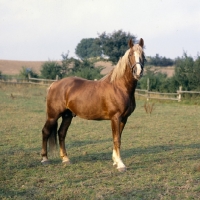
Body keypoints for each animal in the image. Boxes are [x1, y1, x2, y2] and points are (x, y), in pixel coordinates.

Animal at [41, 38, 145, 172]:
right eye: (131, 54)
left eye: (143, 55)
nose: (138, 72)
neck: (119, 87)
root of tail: (54, 84)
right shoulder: (115, 118)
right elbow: (116, 139)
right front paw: (121, 165)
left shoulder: (124, 119)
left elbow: (117, 139)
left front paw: (115, 161)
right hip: (53, 116)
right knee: (46, 131)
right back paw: (44, 159)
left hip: (67, 116)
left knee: (61, 133)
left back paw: (66, 159)